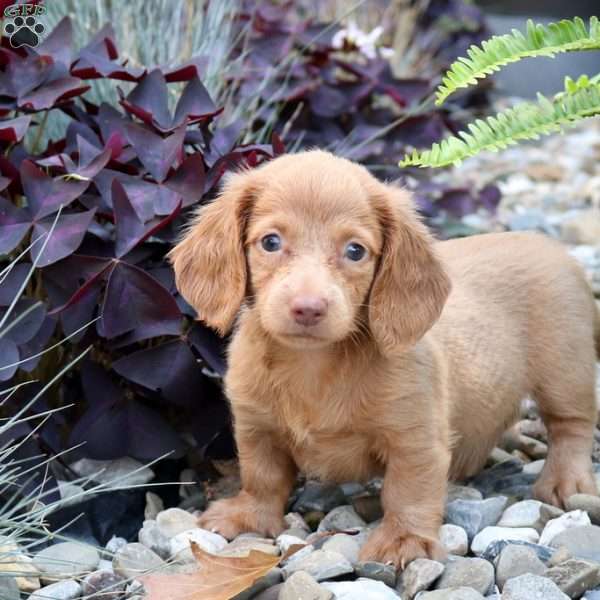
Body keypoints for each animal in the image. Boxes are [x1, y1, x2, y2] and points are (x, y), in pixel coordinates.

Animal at [166, 150, 596, 568]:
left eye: (355, 251)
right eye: (270, 242)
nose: (308, 308)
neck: (313, 366)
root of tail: (552, 248)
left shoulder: (414, 439)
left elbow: (408, 491)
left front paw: (403, 539)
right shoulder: (258, 428)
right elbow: (262, 476)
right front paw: (249, 517)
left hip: (565, 372)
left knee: (571, 427)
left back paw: (566, 481)